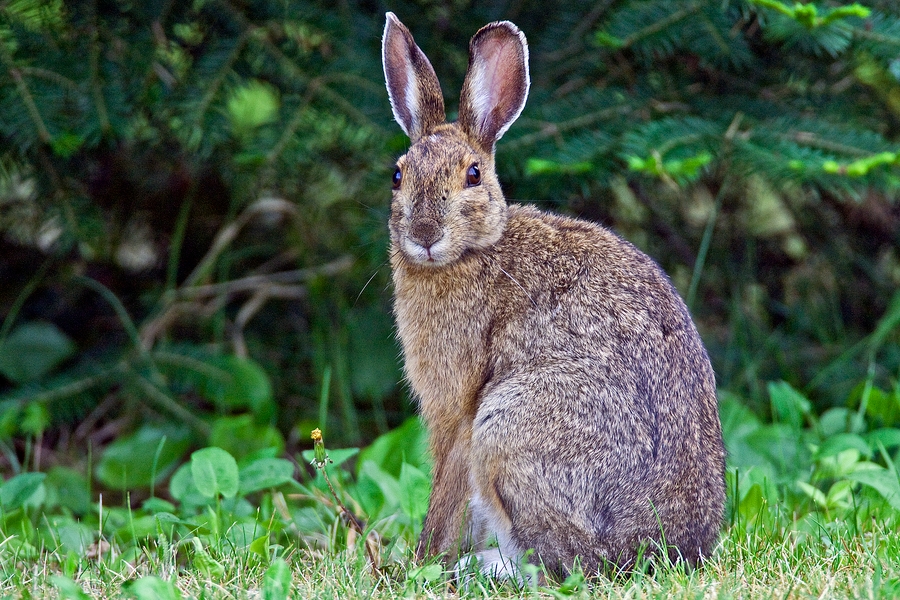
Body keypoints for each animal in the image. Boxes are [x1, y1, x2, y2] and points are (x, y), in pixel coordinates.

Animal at [380, 11, 724, 580]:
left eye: (473, 174)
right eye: (397, 175)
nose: (425, 234)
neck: (476, 250)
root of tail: (658, 547)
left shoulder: (459, 414)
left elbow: (446, 493)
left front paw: (422, 562)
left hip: (507, 429)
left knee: (565, 562)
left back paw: (483, 567)